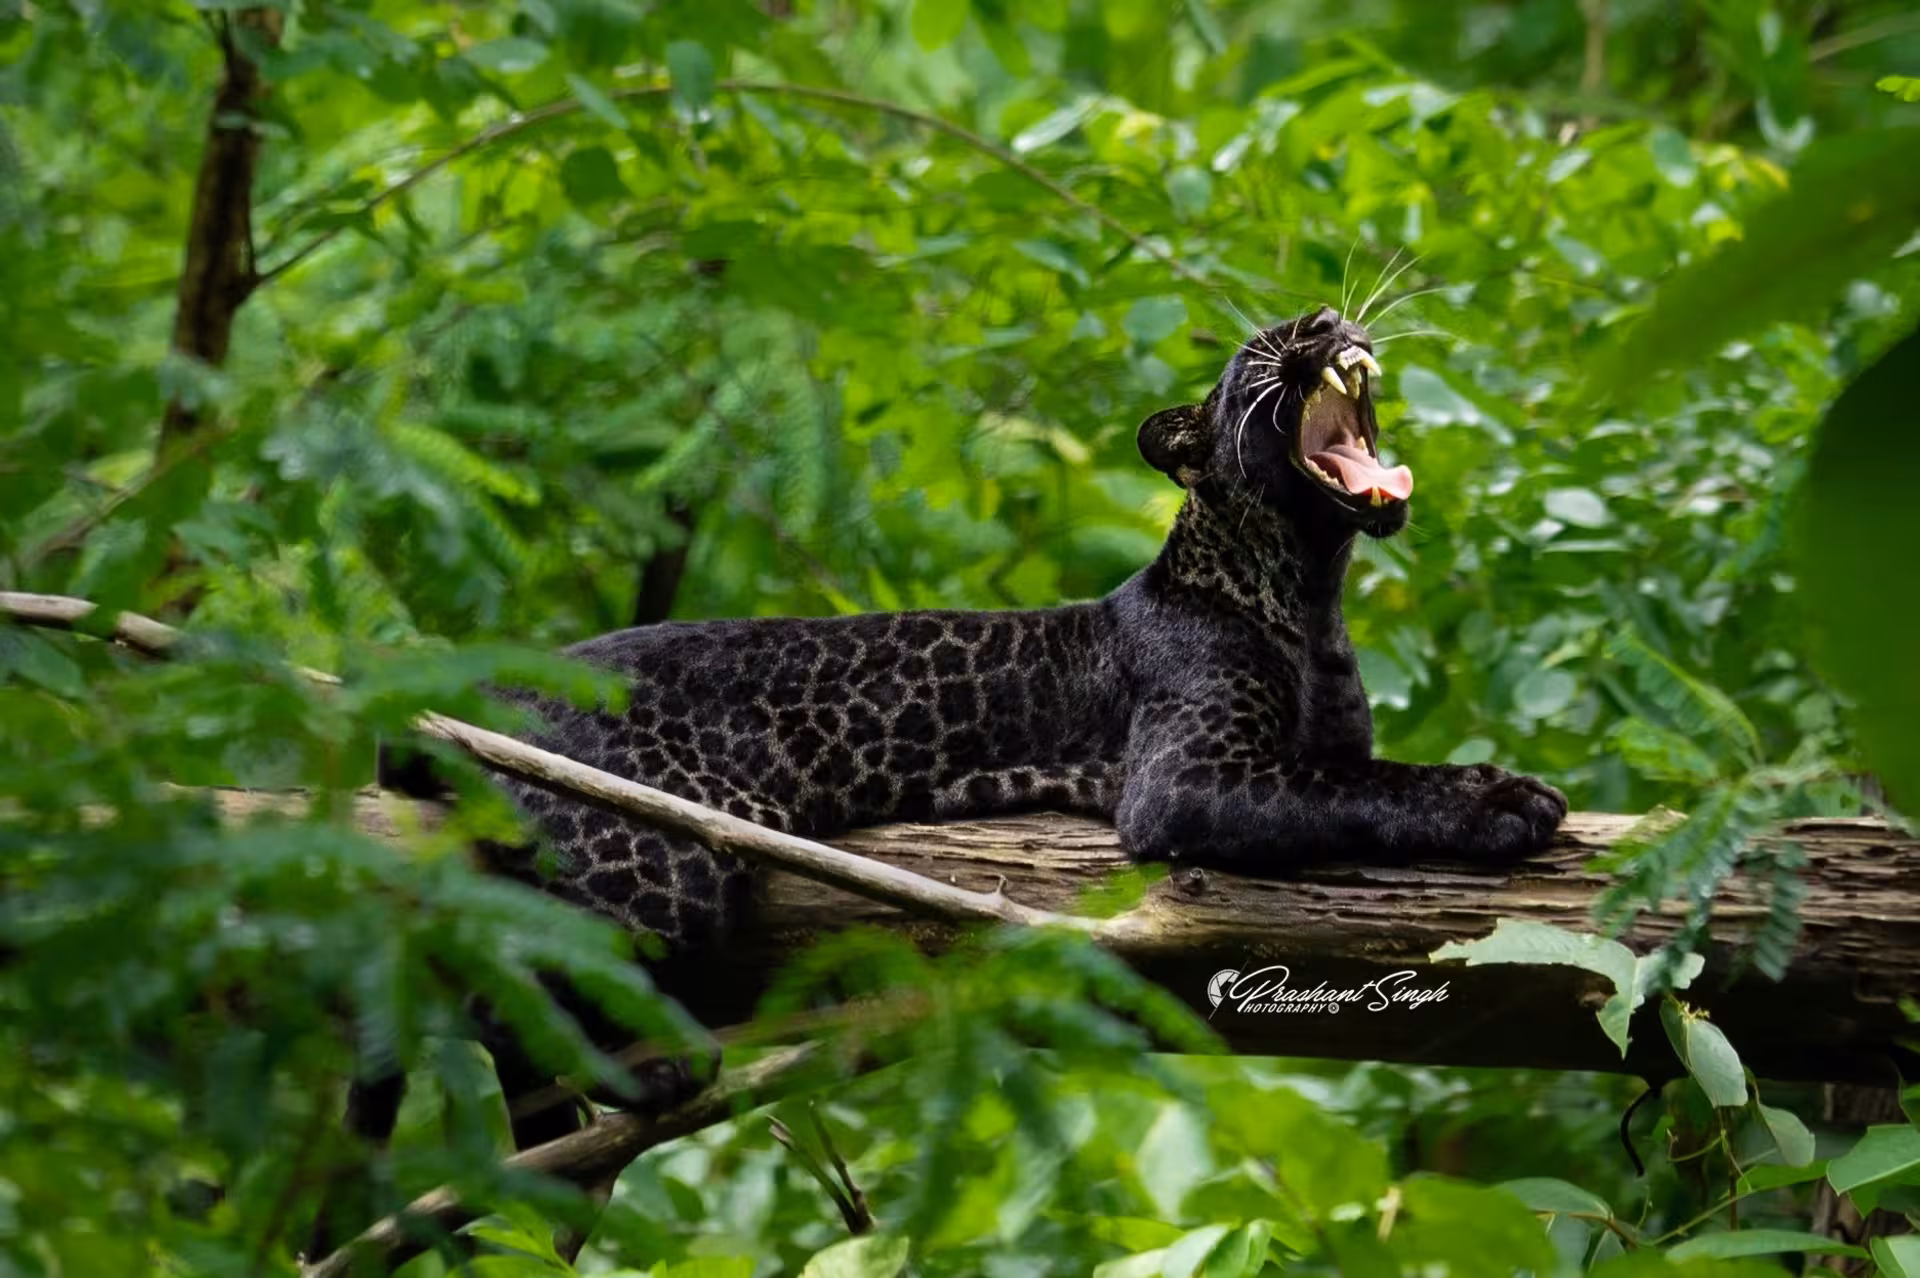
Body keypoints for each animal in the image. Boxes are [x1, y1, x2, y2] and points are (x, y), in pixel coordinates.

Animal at [310, 304, 1567, 1254]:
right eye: (1264, 352)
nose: (1321, 324)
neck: (1310, 593)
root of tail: (473, 688)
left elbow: (1365, 767)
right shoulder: (1193, 778)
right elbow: (1361, 791)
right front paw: (1504, 802)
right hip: (662, 865)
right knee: (514, 966)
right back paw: (657, 1077)